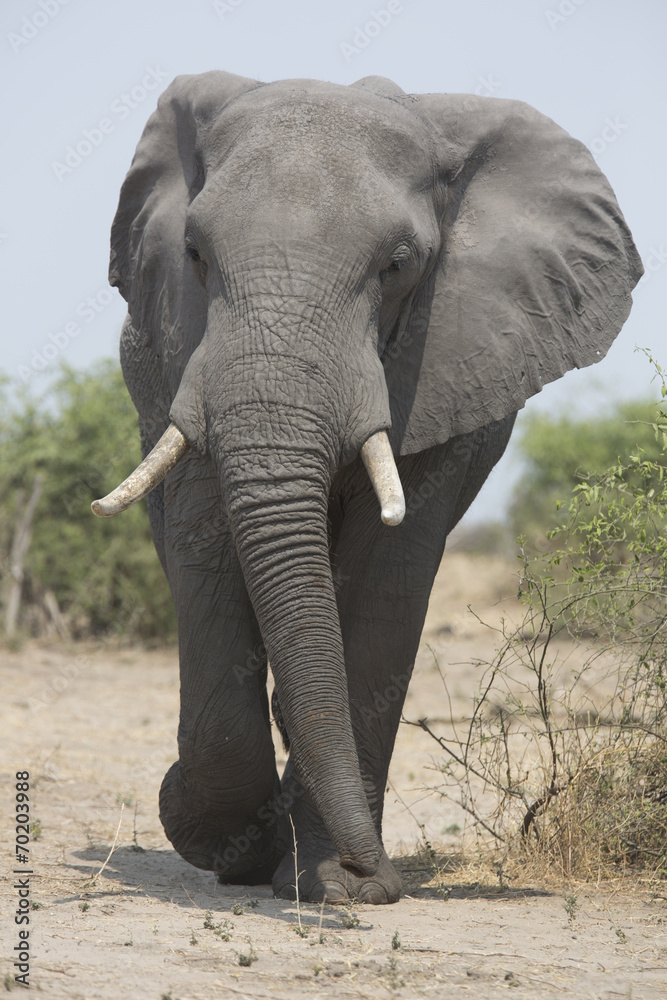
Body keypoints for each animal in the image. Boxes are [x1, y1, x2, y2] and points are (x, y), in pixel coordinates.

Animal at [93, 72, 642, 904]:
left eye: (398, 264)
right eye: (192, 252)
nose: (371, 869)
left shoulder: (439, 365)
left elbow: (386, 582)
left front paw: (339, 886)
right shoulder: (181, 355)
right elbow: (207, 555)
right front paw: (218, 837)